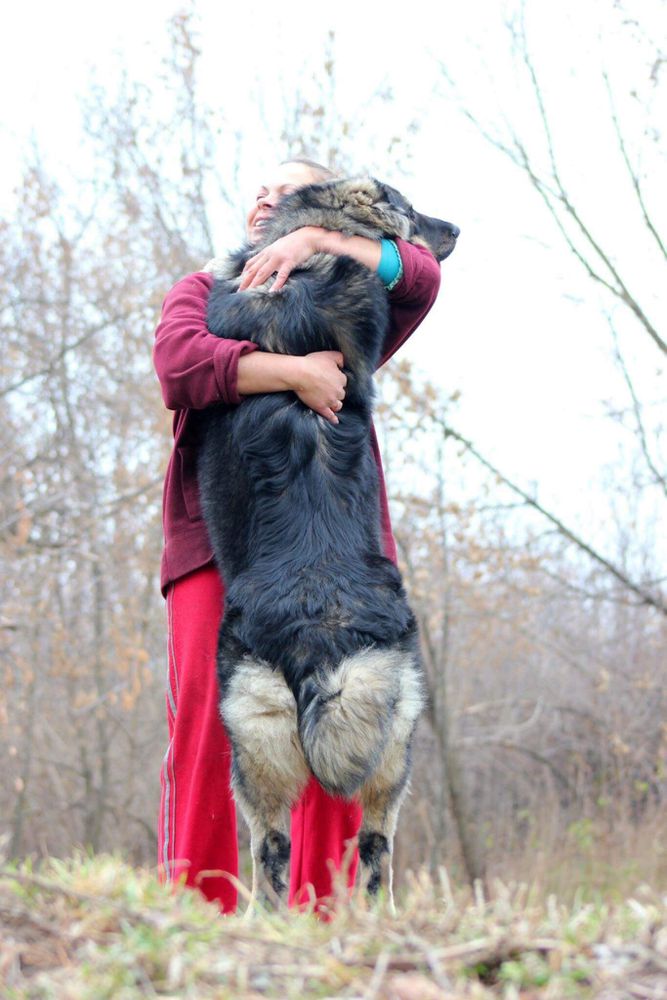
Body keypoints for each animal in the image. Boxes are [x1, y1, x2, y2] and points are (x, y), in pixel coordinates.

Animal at [196, 178, 456, 908]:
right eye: (410, 209)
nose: (455, 230)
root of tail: (323, 629)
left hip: (258, 742)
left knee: (274, 848)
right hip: (386, 730)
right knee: (369, 846)